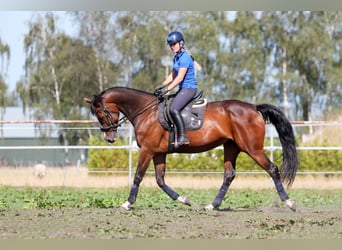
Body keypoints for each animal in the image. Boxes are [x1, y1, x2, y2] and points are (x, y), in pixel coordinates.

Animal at [84, 87, 298, 212]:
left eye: (101, 114)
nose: (110, 138)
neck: (146, 111)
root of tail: (254, 108)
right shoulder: (159, 153)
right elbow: (160, 180)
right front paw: (184, 199)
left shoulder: (147, 150)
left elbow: (138, 176)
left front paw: (127, 203)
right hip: (231, 147)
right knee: (229, 175)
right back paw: (212, 205)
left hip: (252, 149)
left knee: (272, 169)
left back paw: (289, 203)